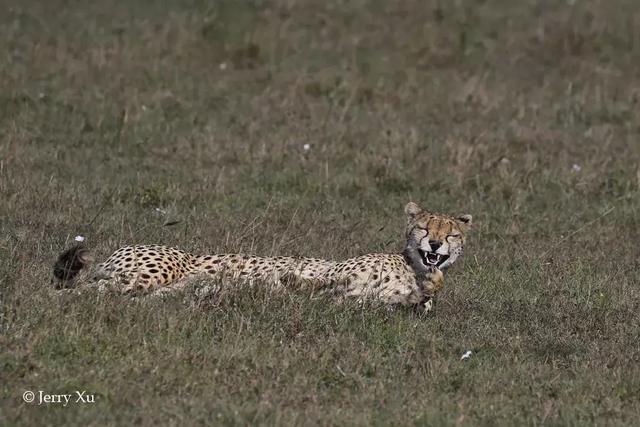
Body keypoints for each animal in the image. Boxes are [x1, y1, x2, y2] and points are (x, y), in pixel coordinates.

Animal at [53, 202, 470, 310]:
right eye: (425, 228)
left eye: (450, 233)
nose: (435, 246)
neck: (412, 268)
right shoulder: (334, 273)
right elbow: (315, 277)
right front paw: (288, 281)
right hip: (149, 272)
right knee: (75, 291)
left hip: (156, 287)